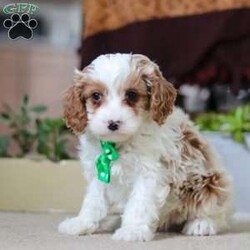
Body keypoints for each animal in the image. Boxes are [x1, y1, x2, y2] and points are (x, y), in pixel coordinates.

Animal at [57, 53, 231, 241]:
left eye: (132, 95)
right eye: (96, 96)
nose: (113, 123)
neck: (118, 146)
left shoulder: (149, 173)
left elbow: (139, 203)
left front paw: (132, 230)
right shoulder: (99, 172)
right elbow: (93, 201)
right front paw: (81, 223)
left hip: (210, 182)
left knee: (216, 212)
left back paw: (201, 224)